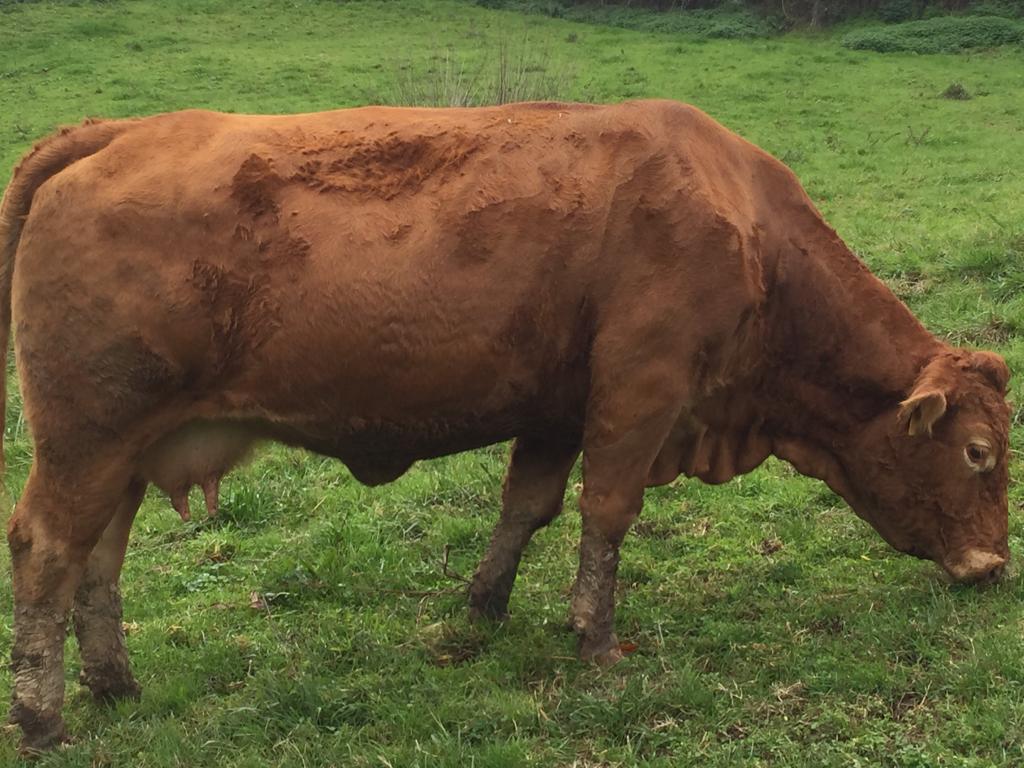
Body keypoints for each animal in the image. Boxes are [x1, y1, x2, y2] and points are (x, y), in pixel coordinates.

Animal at [0, 100, 1011, 751]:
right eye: (978, 452)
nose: (994, 566)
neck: (744, 224)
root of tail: (120, 133)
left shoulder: (559, 406)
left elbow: (528, 506)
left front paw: (483, 607)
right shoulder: (639, 390)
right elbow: (607, 512)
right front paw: (596, 640)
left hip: (127, 449)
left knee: (98, 559)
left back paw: (115, 685)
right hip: (87, 438)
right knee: (49, 549)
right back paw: (44, 716)